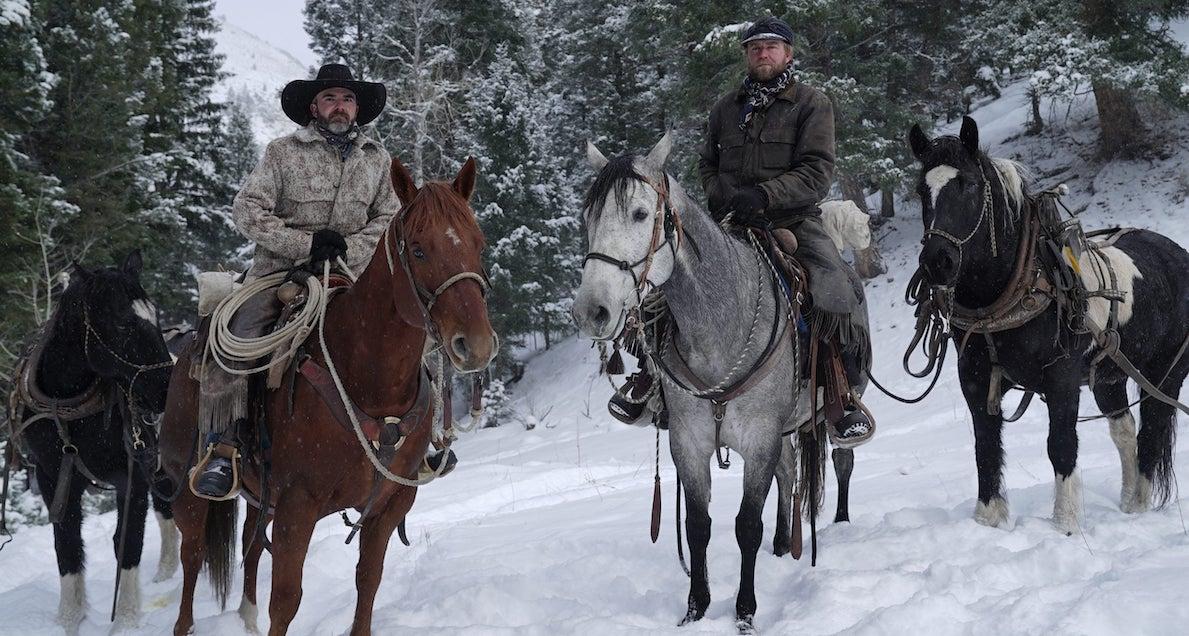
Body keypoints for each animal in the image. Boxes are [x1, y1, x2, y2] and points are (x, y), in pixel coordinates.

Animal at [16, 253, 177, 632]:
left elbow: (127, 543)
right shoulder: (53, 478)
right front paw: (68, 620)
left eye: (155, 314)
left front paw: (126, 621)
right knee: (167, 512)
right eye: (121, 324)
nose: (168, 390)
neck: (69, 409)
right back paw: (165, 572)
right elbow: (67, 545)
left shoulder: (132, 476)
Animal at [160, 156, 494, 632]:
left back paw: (246, 616)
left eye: (478, 245)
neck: (371, 384)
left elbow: (368, 580)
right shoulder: (298, 508)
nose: (476, 345)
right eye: (418, 249)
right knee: (192, 555)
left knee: (249, 545)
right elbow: (285, 600)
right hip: (187, 484)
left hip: (261, 495)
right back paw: (186, 623)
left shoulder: (390, 505)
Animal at [575, 135, 837, 636]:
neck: (721, 327)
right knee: (789, 471)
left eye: (640, 213)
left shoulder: (759, 439)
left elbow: (746, 527)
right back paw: (783, 542)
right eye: (588, 219)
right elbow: (698, 527)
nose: (591, 311)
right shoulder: (690, 443)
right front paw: (695, 609)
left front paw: (745, 612)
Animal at [908, 118, 1189, 532]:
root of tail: (1178, 254)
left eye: (969, 185)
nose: (936, 262)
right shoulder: (976, 381)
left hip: (1163, 375)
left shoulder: (1062, 379)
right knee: (1125, 433)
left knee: (1152, 432)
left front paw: (1066, 523)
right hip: (1109, 378)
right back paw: (1126, 501)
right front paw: (988, 520)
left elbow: (1061, 445)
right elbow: (985, 448)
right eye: (921, 190)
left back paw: (1138, 506)